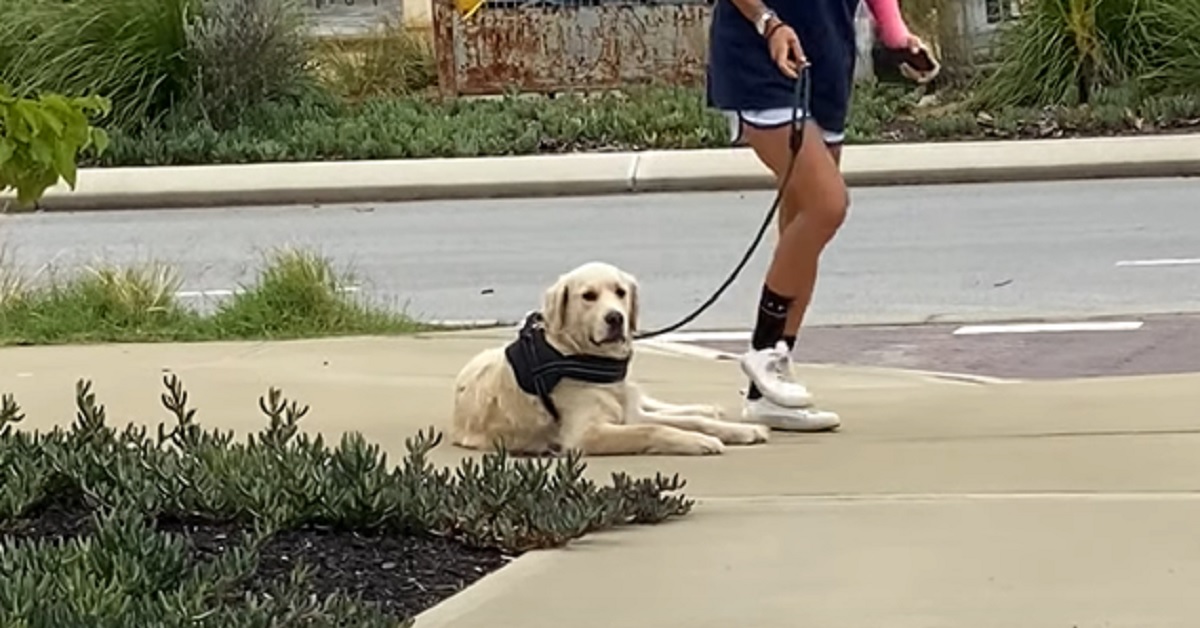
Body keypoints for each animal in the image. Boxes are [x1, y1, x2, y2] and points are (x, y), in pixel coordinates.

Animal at [451, 260, 768, 456]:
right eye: (588, 296)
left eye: (620, 292)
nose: (615, 318)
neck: (580, 355)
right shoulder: (585, 434)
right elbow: (654, 428)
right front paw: (701, 441)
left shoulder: (626, 415)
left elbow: (683, 421)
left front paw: (738, 430)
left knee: (660, 406)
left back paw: (708, 409)